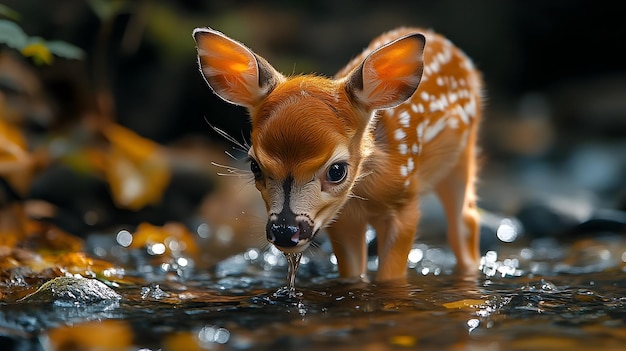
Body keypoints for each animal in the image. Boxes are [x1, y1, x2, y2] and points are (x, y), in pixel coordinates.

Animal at [195, 26, 482, 280]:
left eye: (336, 171)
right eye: (254, 165)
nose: (285, 231)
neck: (367, 193)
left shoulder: (404, 203)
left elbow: (390, 277)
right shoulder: (343, 216)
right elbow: (353, 273)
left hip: (463, 152)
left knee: (465, 220)